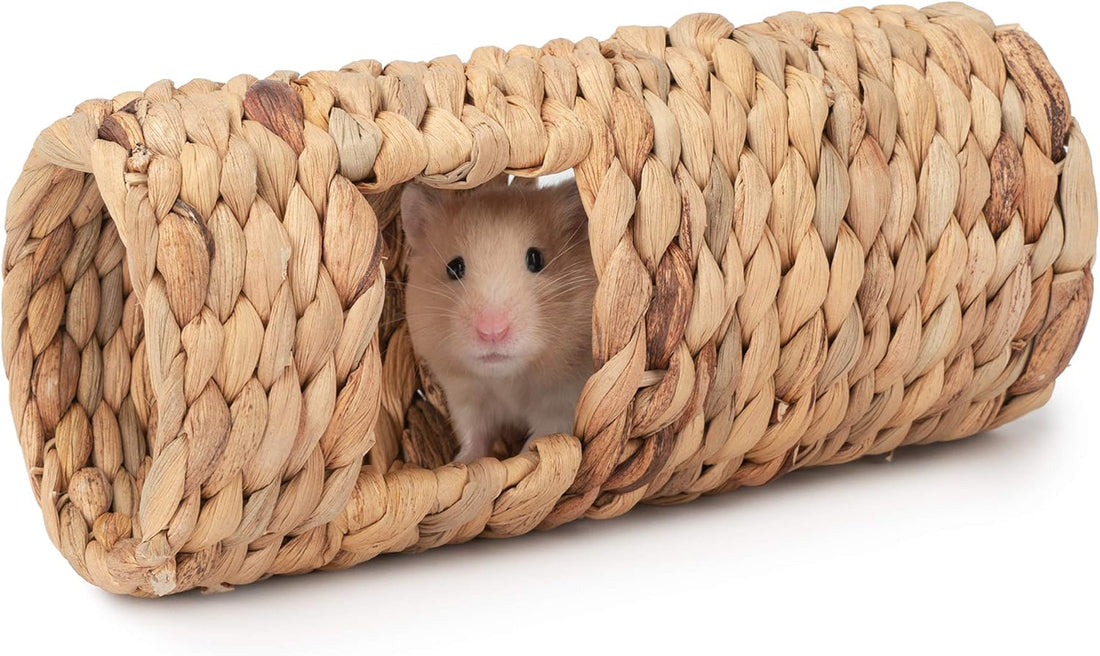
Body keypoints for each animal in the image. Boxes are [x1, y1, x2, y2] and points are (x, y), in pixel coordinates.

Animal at [400, 178, 596, 463]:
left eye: (536, 259)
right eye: (453, 267)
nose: (492, 332)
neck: (507, 378)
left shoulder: (563, 400)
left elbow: (541, 438)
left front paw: (519, 461)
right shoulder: (465, 396)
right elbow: (474, 435)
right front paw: (459, 464)